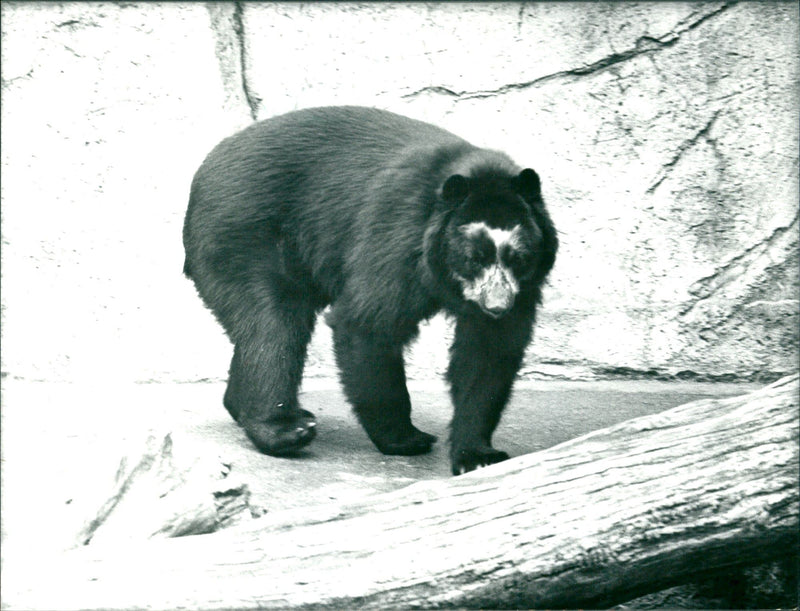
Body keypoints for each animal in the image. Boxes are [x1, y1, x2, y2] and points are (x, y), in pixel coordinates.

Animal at [183, 106, 556, 478]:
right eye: (473, 258)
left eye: (519, 258)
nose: (497, 306)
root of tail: (205, 168)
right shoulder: (397, 236)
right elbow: (368, 323)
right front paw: (406, 439)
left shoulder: (523, 286)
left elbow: (488, 354)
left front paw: (476, 455)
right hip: (243, 235)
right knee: (274, 325)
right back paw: (285, 429)